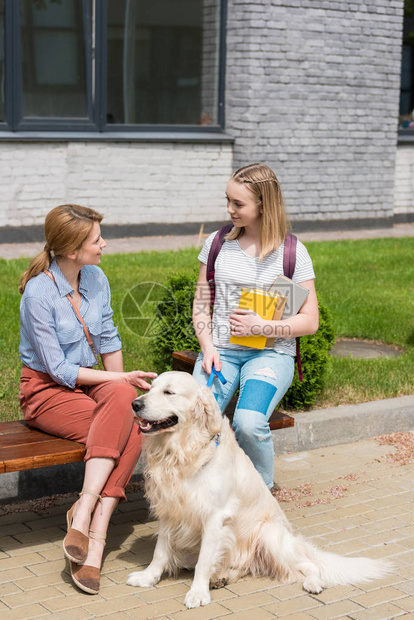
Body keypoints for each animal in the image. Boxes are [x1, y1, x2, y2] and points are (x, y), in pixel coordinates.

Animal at [126, 370, 392, 608]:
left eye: (169, 392)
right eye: (150, 388)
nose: (135, 404)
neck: (183, 452)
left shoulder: (215, 516)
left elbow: (204, 560)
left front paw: (197, 593)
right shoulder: (170, 508)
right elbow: (160, 551)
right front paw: (148, 577)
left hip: (270, 535)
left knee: (308, 565)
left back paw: (313, 583)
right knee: (244, 567)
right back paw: (222, 577)